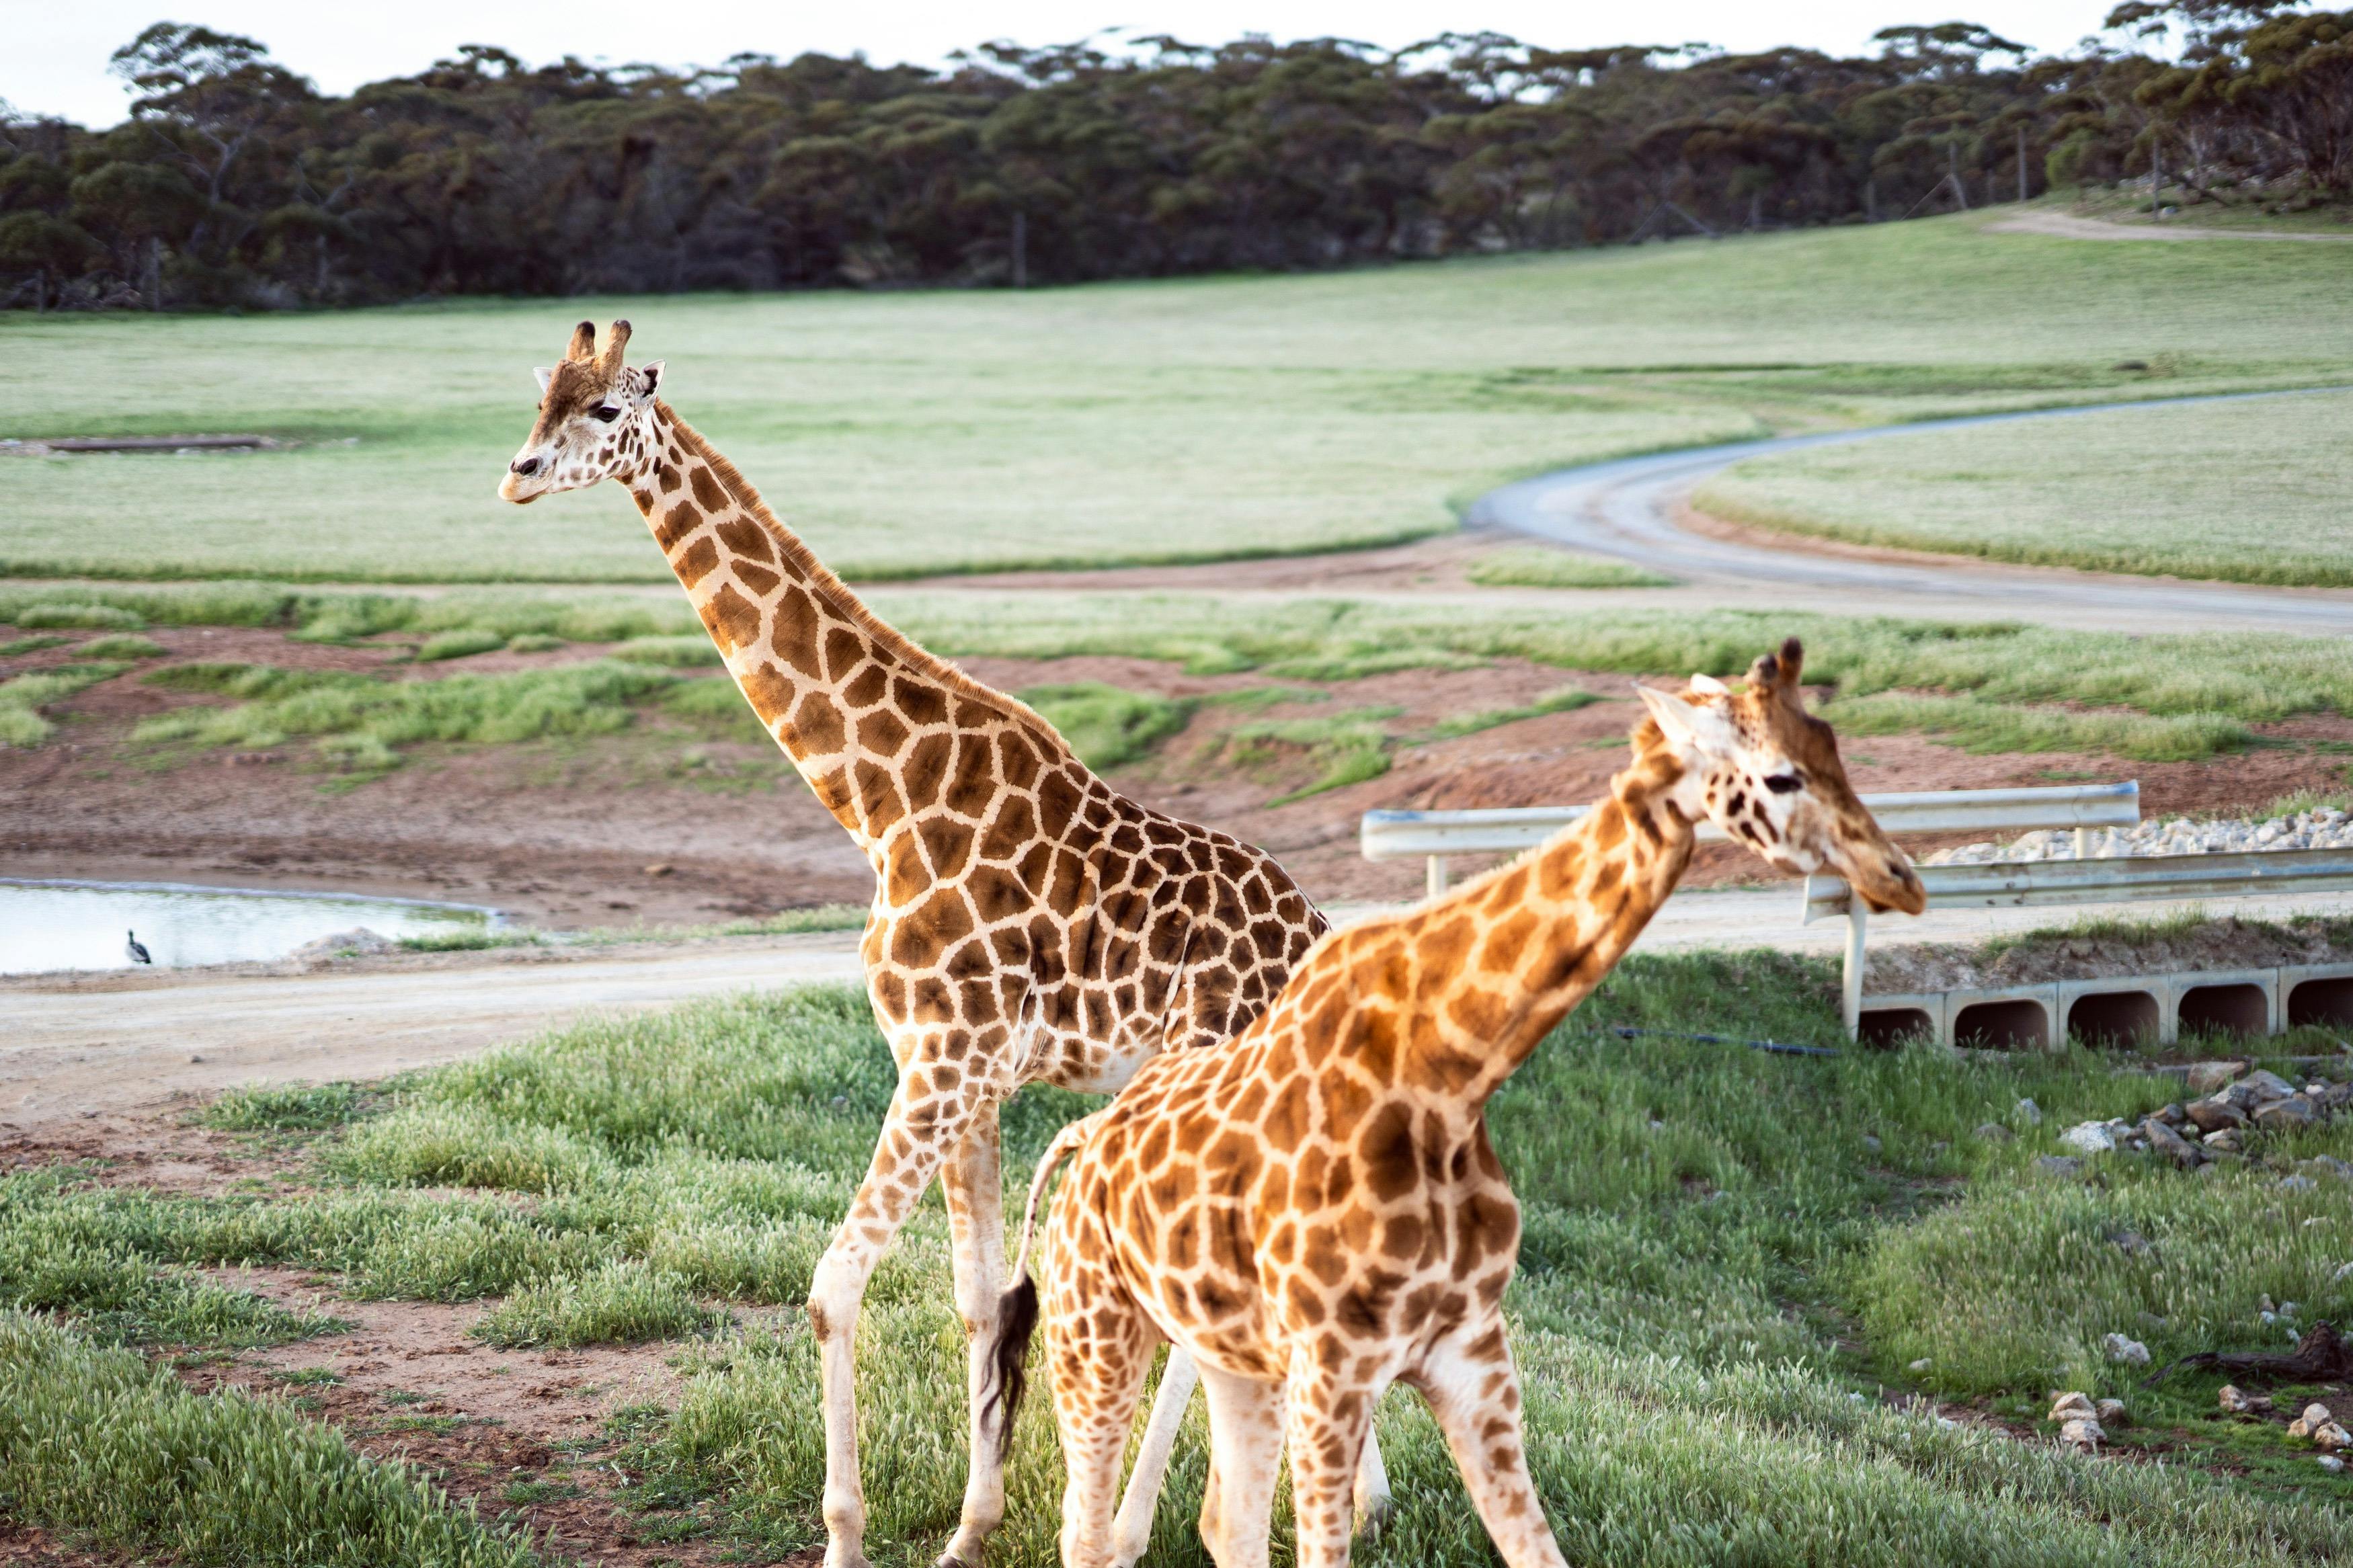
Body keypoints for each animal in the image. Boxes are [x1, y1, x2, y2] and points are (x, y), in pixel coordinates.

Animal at [496, 321, 1385, 1568]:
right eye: (542, 397)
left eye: (609, 411)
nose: (518, 474)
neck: (884, 801)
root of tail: (1320, 942)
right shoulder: (969, 1076)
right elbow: (978, 1297)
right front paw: (970, 1527)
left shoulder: (942, 1062)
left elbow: (836, 1283)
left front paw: (845, 1537)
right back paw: (1348, 1497)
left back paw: (1140, 1524)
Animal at [985, 640, 1927, 1568]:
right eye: (1778, 776)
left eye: (1832, 746)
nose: (1901, 878)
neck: (1449, 1076)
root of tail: (1078, 1139)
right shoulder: (1333, 1366)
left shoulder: (1472, 1356)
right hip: (1096, 1326)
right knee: (1085, 1523)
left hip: (1229, 1355)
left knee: (1223, 1521)